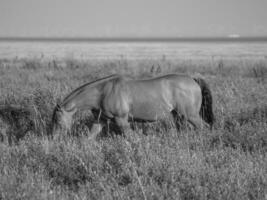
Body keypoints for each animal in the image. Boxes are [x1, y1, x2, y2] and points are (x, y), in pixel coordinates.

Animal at [51, 73, 216, 138]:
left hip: (191, 116)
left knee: (204, 128)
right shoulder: (100, 120)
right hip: (179, 116)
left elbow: (131, 138)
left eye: (57, 120)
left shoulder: (121, 120)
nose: (54, 138)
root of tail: (193, 79)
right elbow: (90, 137)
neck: (103, 91)